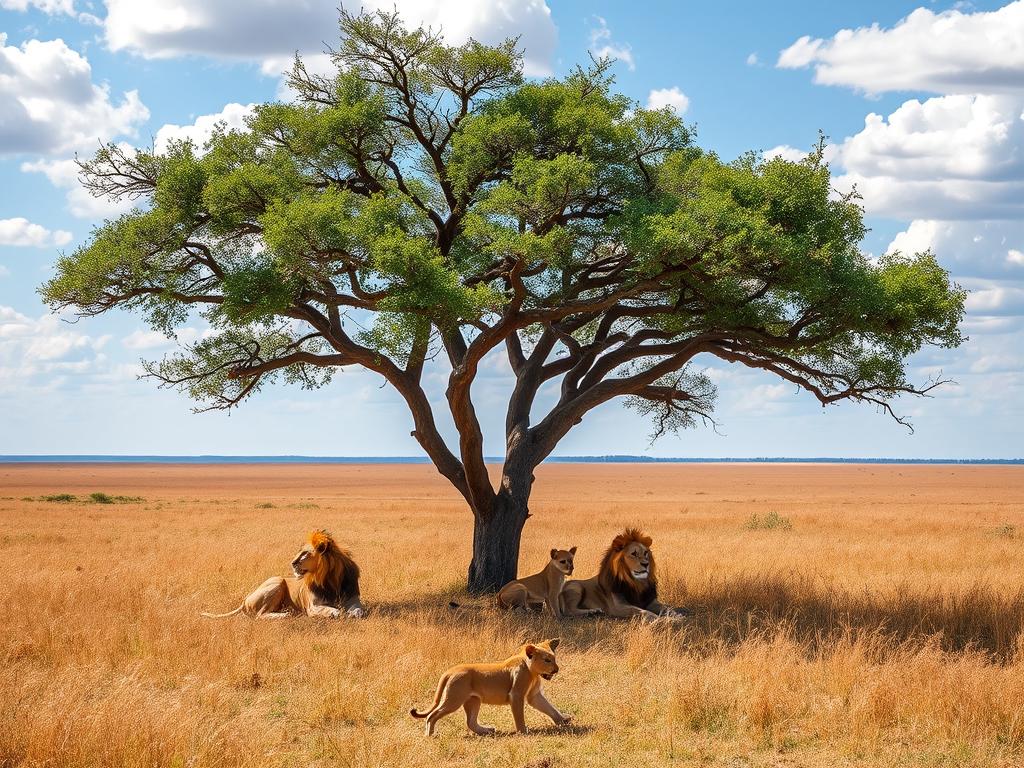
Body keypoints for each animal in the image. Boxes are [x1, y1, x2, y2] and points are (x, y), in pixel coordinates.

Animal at [202, 529, 365, 619]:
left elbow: (359, 609)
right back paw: (285, 614)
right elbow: (332, 610)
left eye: (305, 553)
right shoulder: (312, 607)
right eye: (300, 551)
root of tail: (245, 599)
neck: (330, 579)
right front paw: (338, 613)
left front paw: (354, 613)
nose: (292, 563)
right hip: (277, 581)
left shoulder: (353, 598)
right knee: (260, 615)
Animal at [410, 638, 569, 736]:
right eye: (547, 660)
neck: (533, 673)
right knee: (432, 715)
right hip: (453, 700)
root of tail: (450, 671)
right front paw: (523, 731)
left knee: (471, 722)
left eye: (554, 659)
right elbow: (519, 715)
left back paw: (487, 730)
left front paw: (563, 720)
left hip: (473, 700)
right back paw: (430, 734)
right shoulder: (516, 695)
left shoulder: (534, 696)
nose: (556, 670)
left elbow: (549, 708)